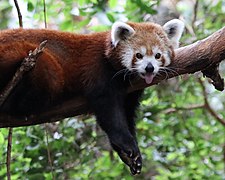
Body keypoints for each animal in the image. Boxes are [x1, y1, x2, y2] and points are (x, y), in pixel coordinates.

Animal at [0, 19, 184, 174]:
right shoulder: (98, 69)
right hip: (28, 55)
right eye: (139, 55)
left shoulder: (132, 91)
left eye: (158, 55)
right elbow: (109, 112)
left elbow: (127, 114)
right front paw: (126, 144)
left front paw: (130, 156)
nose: (149, 68)